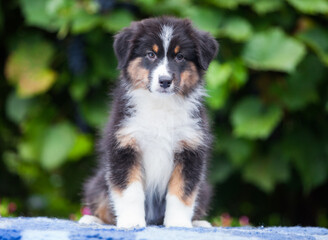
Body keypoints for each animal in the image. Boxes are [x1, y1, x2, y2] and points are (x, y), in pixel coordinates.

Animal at [81, 16, 218, 227]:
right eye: (150, 55)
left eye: (180, 57)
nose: (165, 81)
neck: (160, 105)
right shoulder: (124, 146)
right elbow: (129, 190)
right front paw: (131, 222)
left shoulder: (190, 149)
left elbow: (182, 192)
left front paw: (178, 224)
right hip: (96, 184)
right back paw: (91, 219)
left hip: (204, 190)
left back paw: (199, 223)